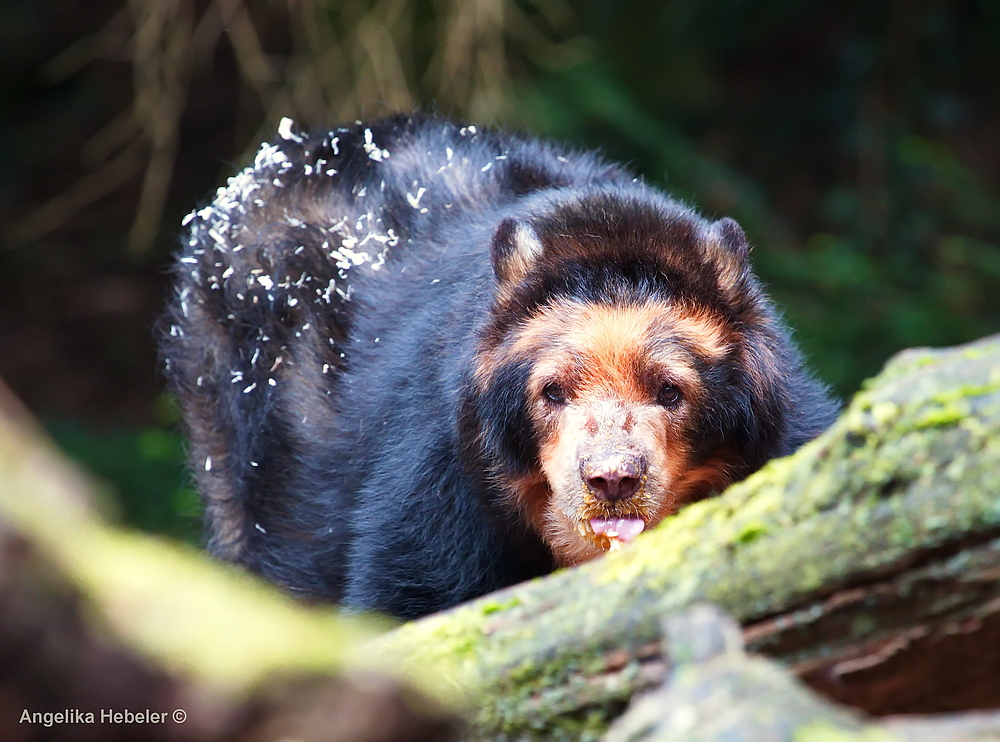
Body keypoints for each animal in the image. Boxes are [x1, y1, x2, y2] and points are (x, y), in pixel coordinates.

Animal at [162, 112, 836, 620]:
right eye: (552, 393)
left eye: (672, 391)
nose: (612, 481)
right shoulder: (446, 465)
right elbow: (411, 591)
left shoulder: (787, 433)